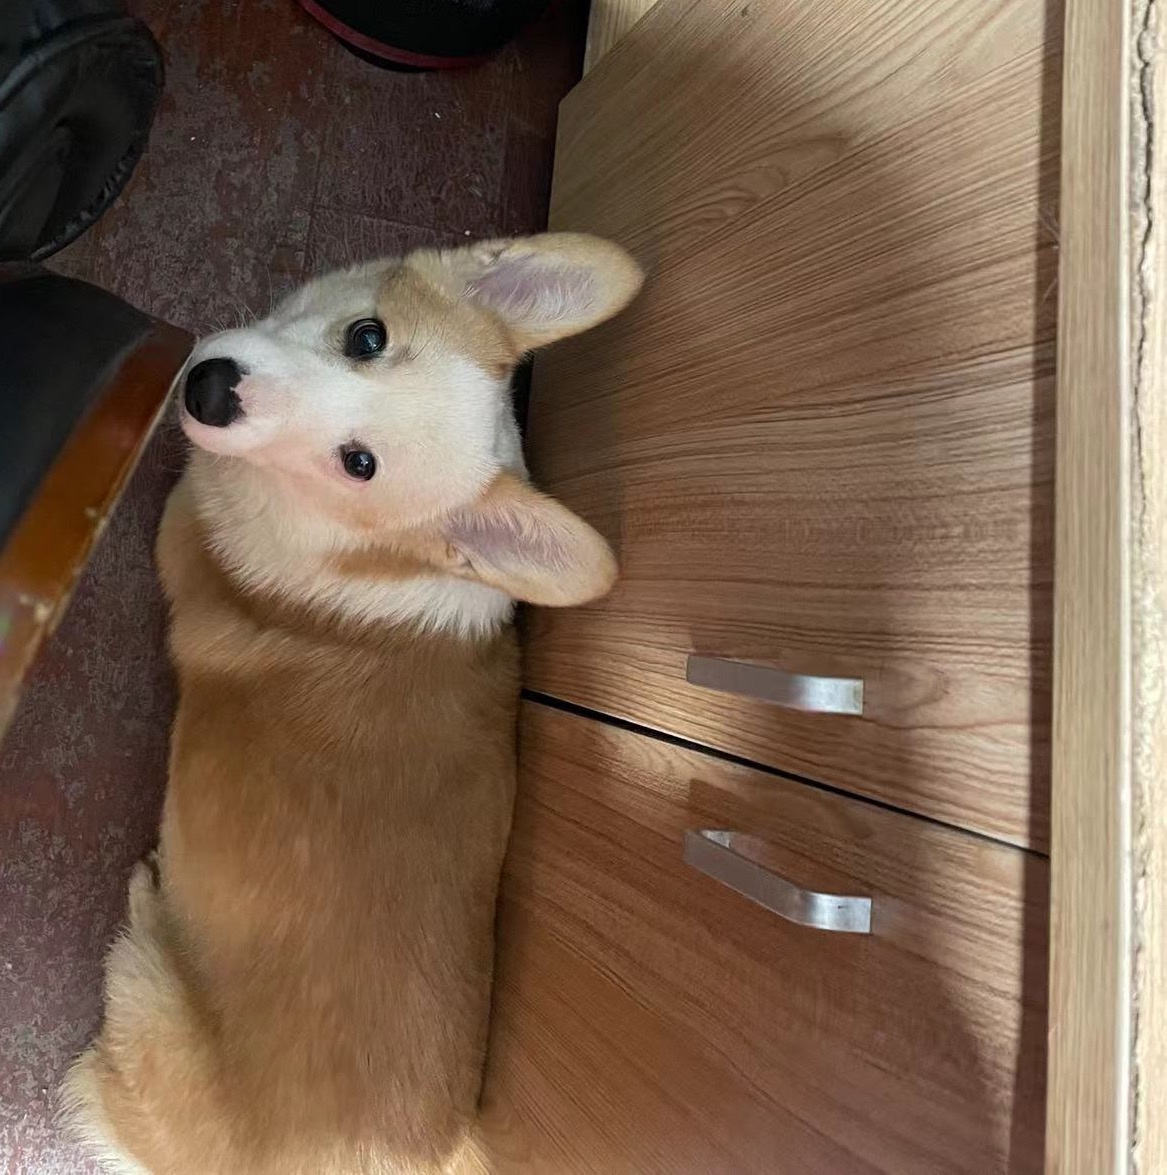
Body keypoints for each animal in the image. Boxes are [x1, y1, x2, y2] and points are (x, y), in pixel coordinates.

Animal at [61, 233, 643, 1174]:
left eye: (358, 463)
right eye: (367, 336)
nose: (210, 389)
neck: (360, 550)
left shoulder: (182, 520)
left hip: (142, 995)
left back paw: (148, 897)